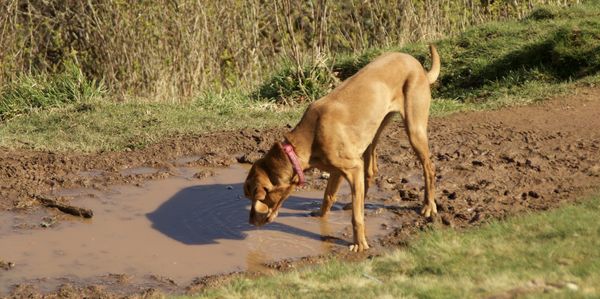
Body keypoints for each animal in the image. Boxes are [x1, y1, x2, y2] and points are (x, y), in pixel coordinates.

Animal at [244, 45, 440, 253]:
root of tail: (417, 64)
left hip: (414, 129)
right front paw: (320, 216)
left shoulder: (352, 168)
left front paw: (359, 243)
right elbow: (328, 196)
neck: (305, 143)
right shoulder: (337, 170)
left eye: (254, 197)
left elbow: (356, 217)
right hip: (373, 132)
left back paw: (429, 206)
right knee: (370, 170)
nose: (249, 222)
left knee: (429, 168)